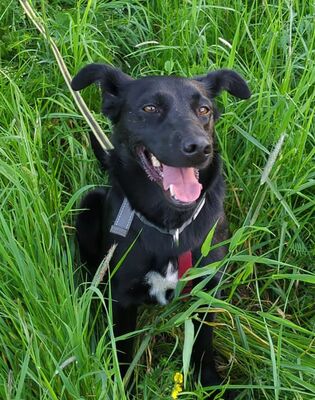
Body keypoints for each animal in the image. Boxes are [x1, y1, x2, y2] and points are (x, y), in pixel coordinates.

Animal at [71, 64, 249, 398]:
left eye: (204, 110)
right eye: (150, 108)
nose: (200, 148)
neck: (173, 227)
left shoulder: (205, 291)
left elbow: (203, 346)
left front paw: (209, 384)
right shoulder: (122, 298)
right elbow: (123, 353)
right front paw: (122, 388)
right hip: (88, 206)